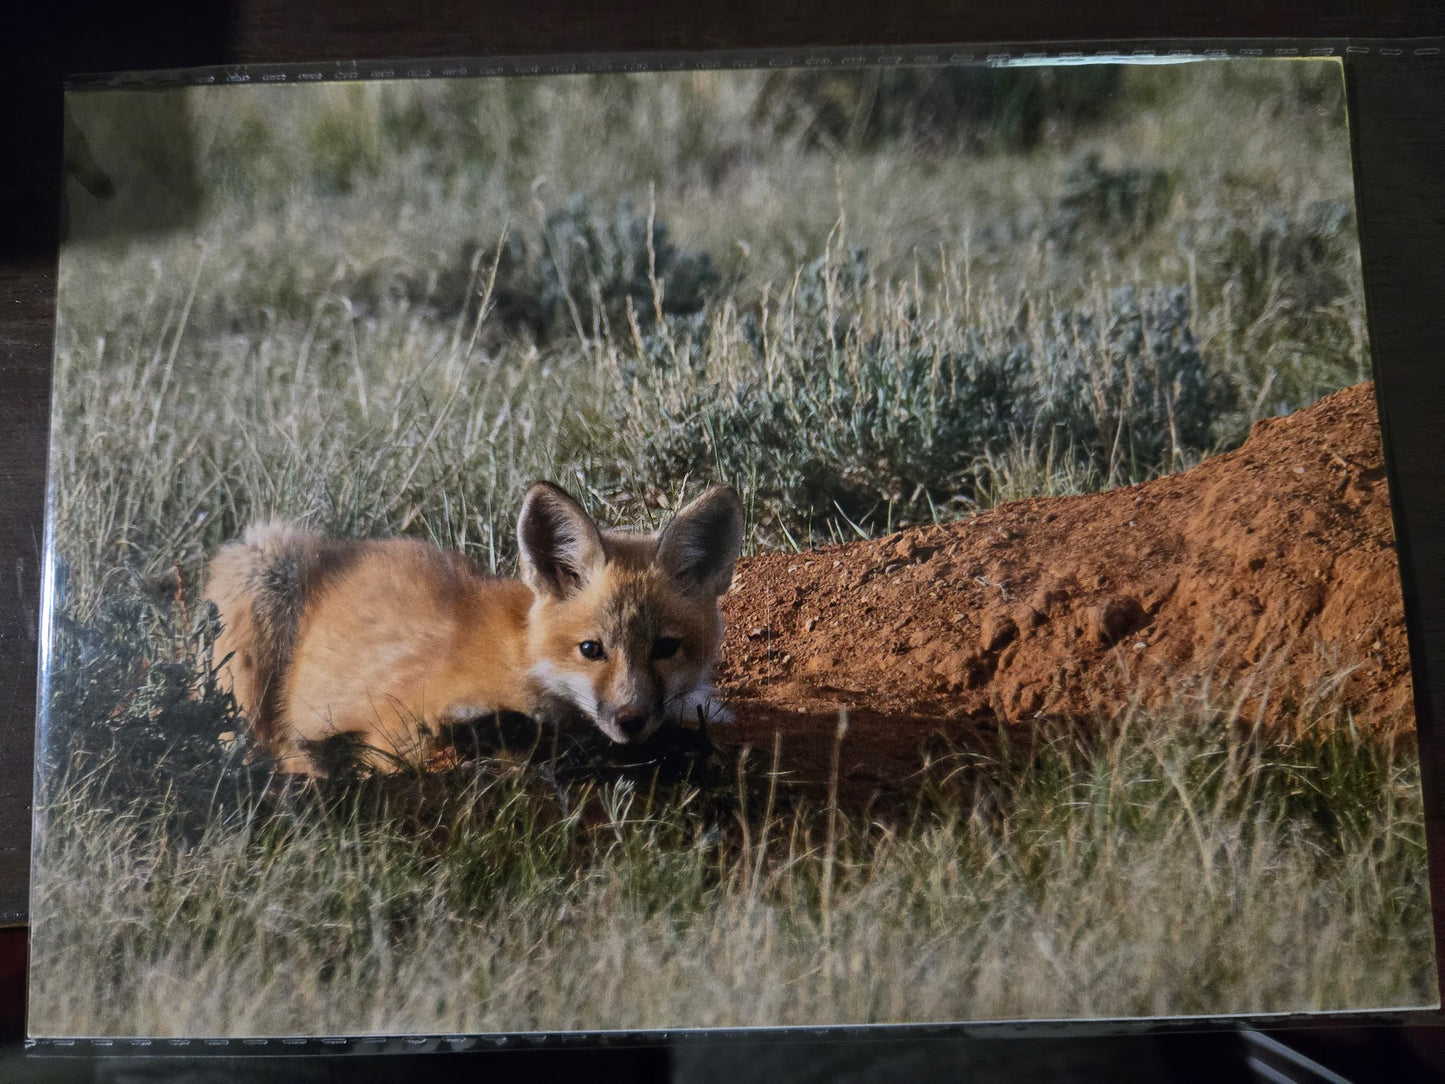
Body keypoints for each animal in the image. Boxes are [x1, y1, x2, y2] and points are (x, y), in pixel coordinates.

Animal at [204, 482, 746, 774]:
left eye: (666, 648)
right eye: (591, 649)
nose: (630, 721)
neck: (523, 661)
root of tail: (343, 546)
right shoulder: (396, 727)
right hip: (264, 572)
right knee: (264, 740)